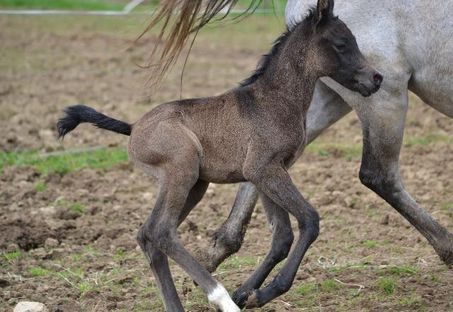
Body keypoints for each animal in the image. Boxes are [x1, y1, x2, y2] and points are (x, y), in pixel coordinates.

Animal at [57, 0, 382, 310]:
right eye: (341, 43)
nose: (376, 78)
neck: (273, 101)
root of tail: (134, 127)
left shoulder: (271, 171)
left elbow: (282, 237)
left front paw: (250, 294)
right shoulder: (263, 169)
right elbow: (309, 220)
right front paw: (258, 293)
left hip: (193, 184)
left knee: (147, 234)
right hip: (181, 170)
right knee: (162, 232)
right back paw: (222, 299)